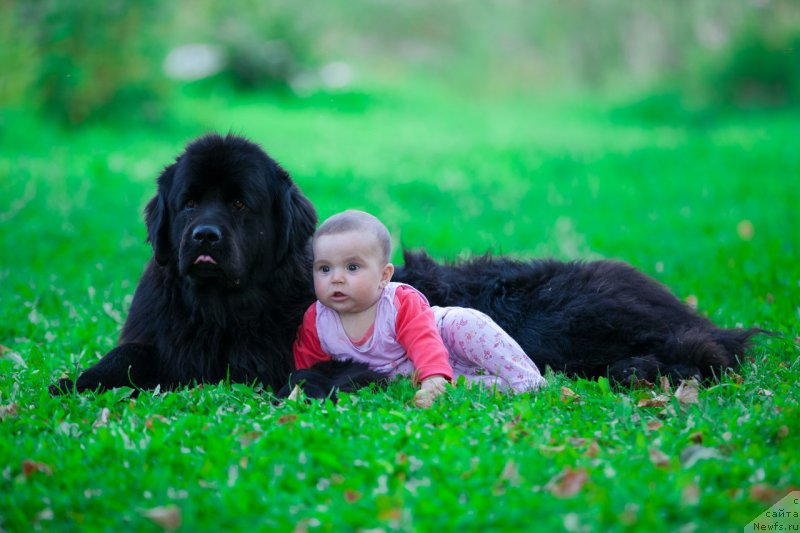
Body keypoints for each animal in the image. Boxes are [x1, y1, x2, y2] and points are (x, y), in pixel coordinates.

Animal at [51, 135, 764, 396]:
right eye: (190, 201)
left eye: (240, 204)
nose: (203, 235)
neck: (223, 310)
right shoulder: (162, 336)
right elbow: (128, 358)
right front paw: (73, 381)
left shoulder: (282, 357)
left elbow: (298, 374)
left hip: (569, 316)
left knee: (707, 351)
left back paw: (641, 369)